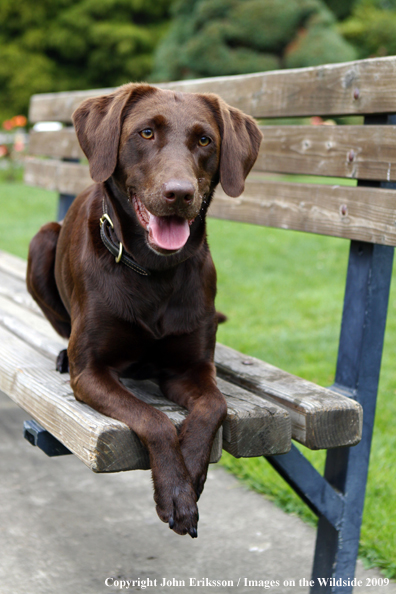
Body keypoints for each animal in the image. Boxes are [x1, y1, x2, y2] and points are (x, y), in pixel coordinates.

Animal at [27, 84, 262, 536]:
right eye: (146, 132)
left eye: (205, 140)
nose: (179, 193)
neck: (155, 272)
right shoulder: (92, 373)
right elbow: (153, 418)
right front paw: (176, 490)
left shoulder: (191, 369)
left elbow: (215, 406)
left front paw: (192, 474)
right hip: (42, 240)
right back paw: (62, 354)